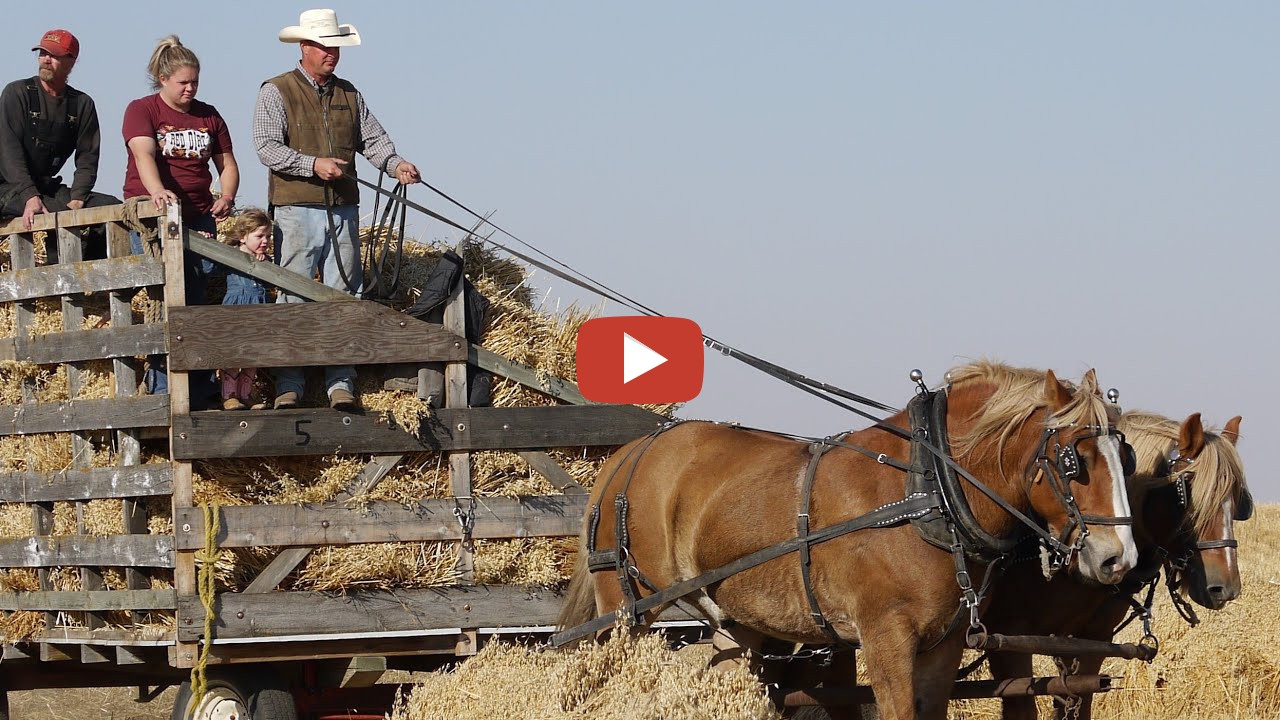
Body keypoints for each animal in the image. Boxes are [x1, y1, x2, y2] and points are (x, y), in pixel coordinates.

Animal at [560, 361, 1141, 712]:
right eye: (1074, 462)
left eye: (1125, 455)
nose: (1119, 559)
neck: (929, 489)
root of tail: (629, 453)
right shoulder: (886, 638)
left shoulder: (943, 647)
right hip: (629, 608)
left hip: (733, 620)